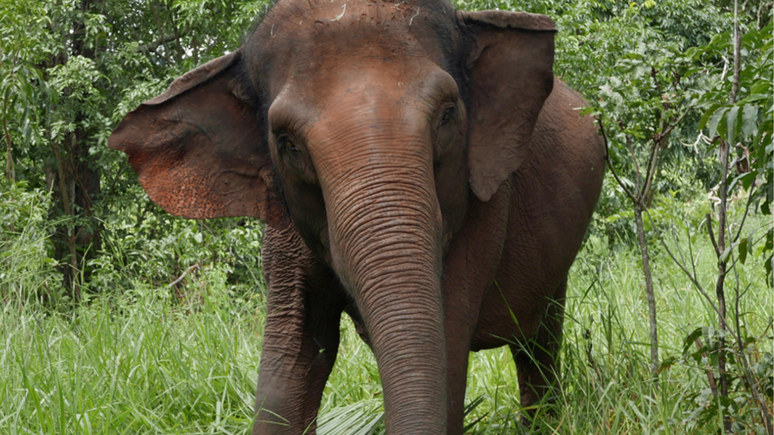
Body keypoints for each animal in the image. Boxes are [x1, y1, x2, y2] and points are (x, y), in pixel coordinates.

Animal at [109, 0, 608, 435]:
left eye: (448, 115)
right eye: (287, 143)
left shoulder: (483, 204)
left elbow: (444, 345)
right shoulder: (284, 225)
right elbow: (291, 363)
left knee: (540, 338)